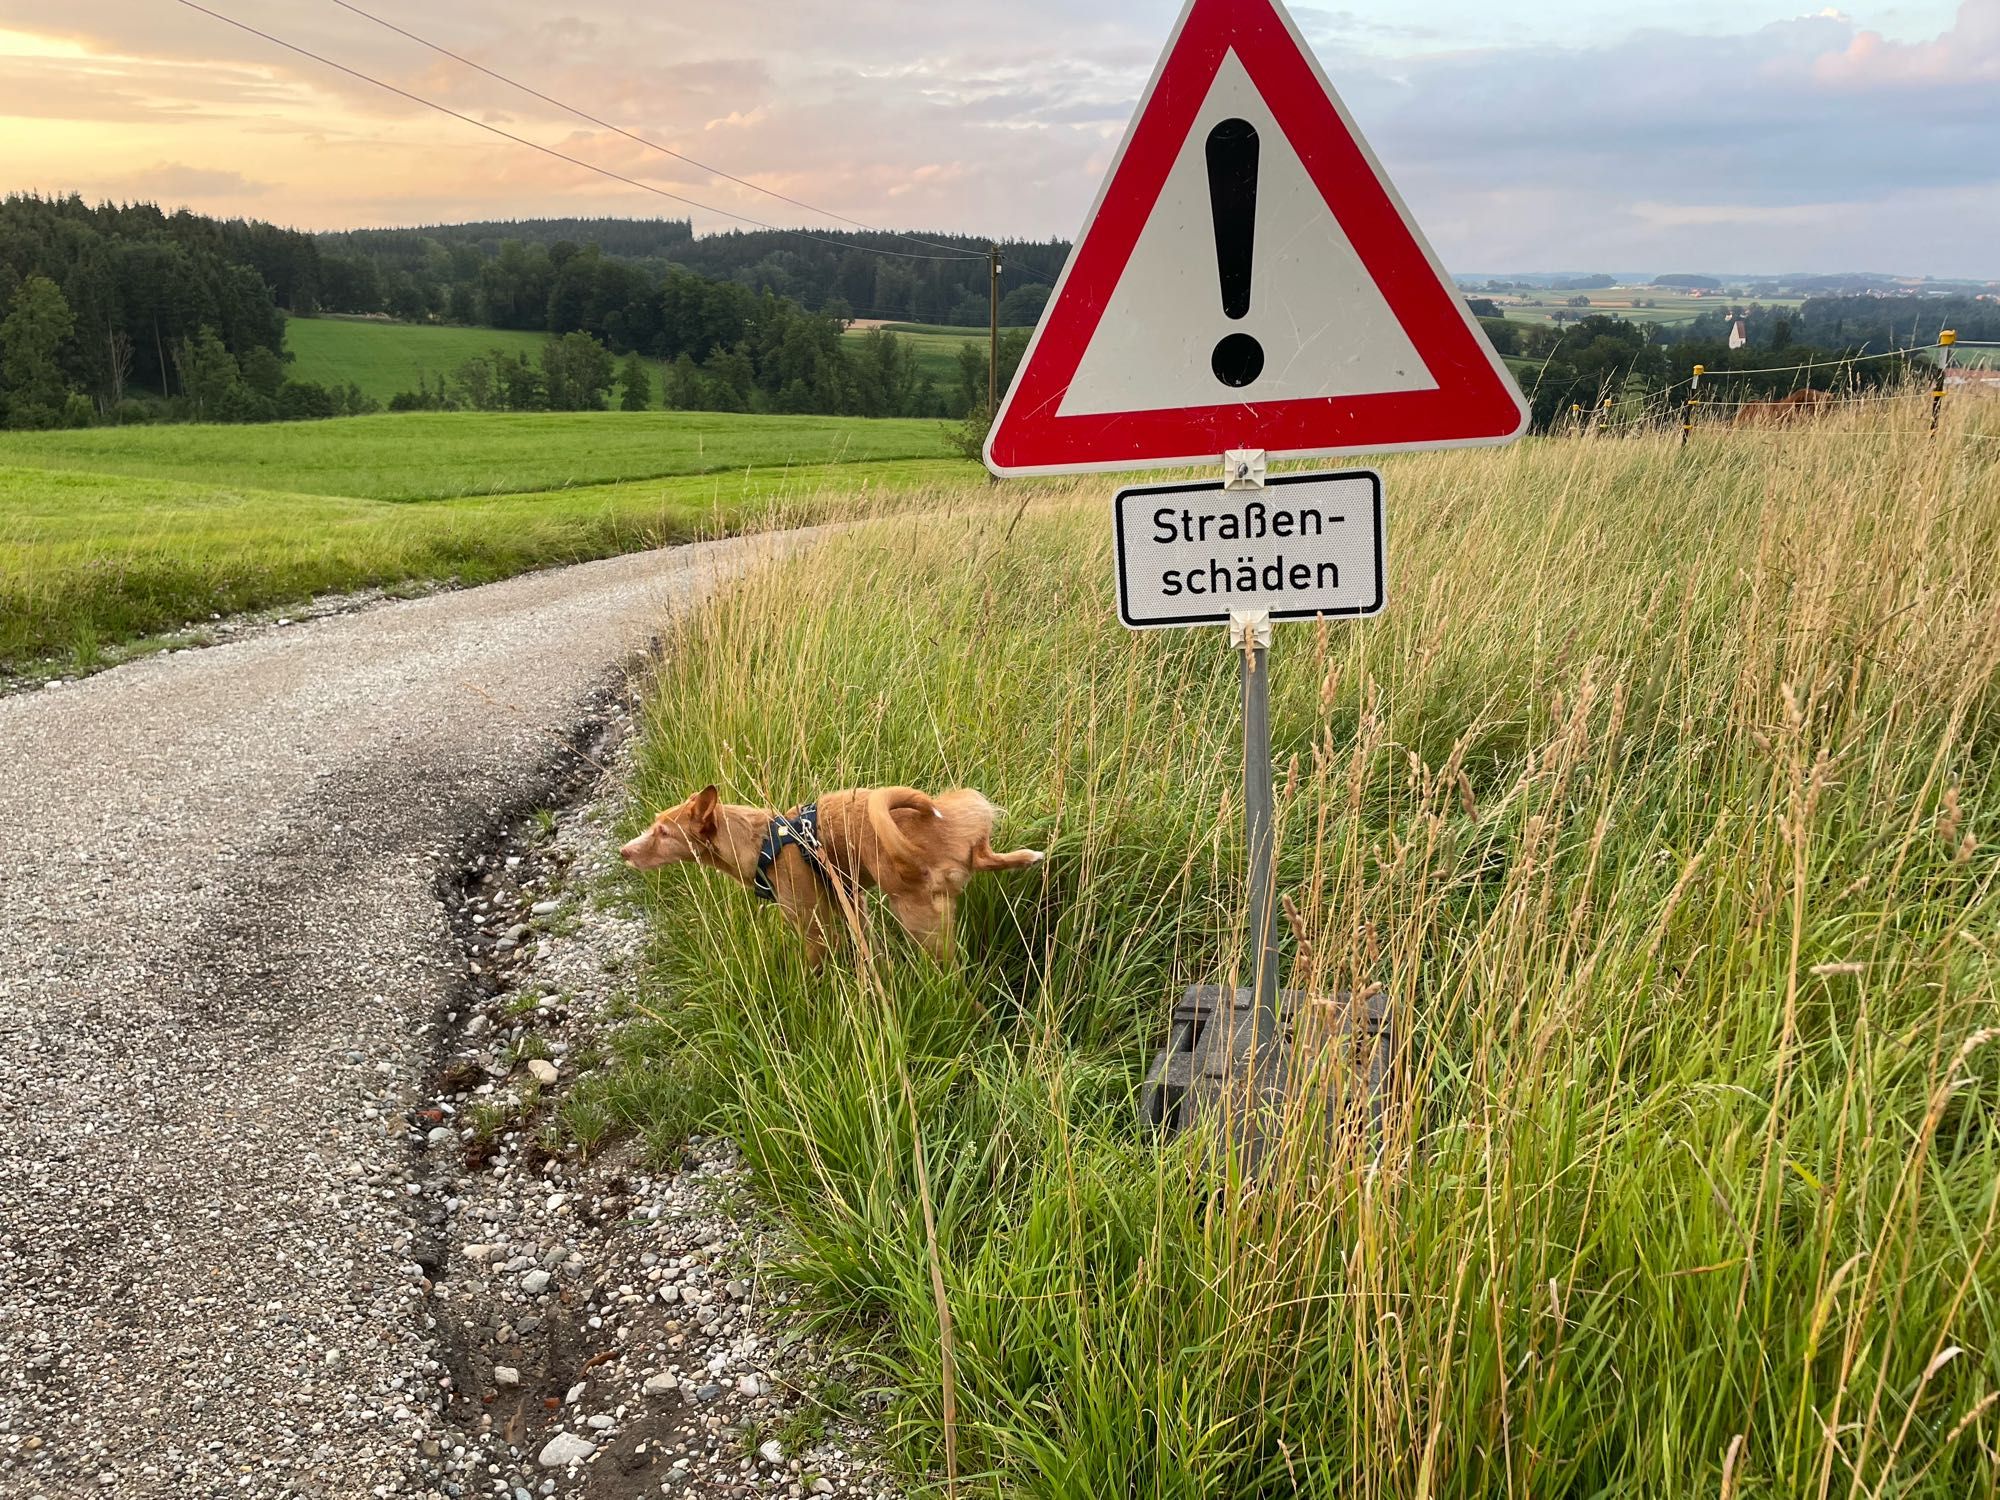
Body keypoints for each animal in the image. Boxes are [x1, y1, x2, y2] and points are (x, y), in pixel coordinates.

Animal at [616, 788, 1040, 964]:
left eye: (663, 833)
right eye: (654, 825)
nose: (623, 852)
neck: (762, 840)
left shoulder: (814, 929)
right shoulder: (852, 904)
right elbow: (872, 951)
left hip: (917, 917)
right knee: (985, 856)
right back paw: (1028, 857)